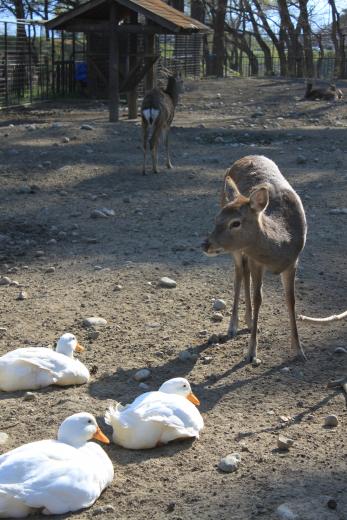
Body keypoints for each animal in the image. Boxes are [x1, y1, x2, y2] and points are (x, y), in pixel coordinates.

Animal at [203, 155, 308, 366]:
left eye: (235, 223)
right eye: (216, 219)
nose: (205, 244)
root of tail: (246, 157)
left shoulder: (293, 262)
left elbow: (291, 300)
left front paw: (299, 350)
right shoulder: (256, 261)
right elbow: (259, 297)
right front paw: (251, 353)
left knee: (244, 274)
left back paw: (249, 321)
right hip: (237, 250)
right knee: (239, 275)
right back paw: (234, 326)